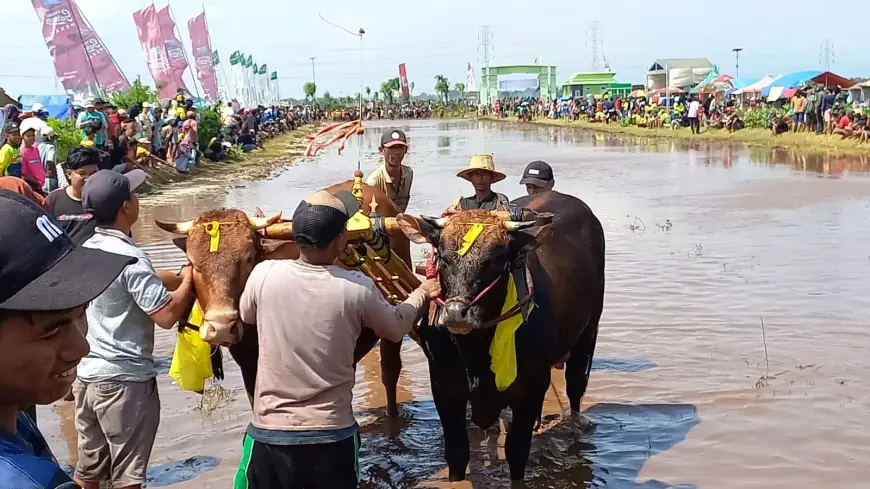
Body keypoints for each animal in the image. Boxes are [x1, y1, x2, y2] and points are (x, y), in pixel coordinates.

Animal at [396, 190, 608, 480]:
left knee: (576, 383)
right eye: (442, 257)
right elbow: (457, 453)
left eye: (494, 260)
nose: (456, 314)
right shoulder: (443, 386)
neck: (475, 355)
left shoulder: (531, 387)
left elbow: (517, 454)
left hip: (589, 330)